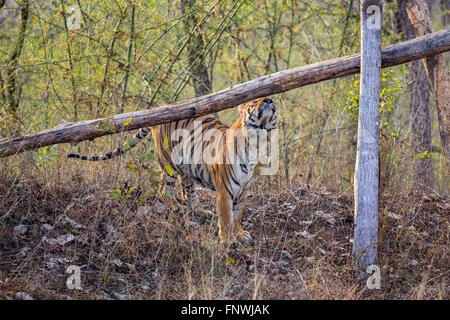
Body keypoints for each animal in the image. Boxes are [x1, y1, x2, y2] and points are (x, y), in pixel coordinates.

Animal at [68, 97, 276, 242]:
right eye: (255, 101)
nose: (269, 100)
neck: (256, 142)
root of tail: (161, 109)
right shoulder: (225, 190)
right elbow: (226, 216)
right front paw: (228, 240)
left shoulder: (243, 190)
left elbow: (237, 215)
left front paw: (239, 233)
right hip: (169, 162)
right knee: (163, 191)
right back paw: (176, 207)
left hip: (189, 167)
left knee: (187, 192)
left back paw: (198, 210)